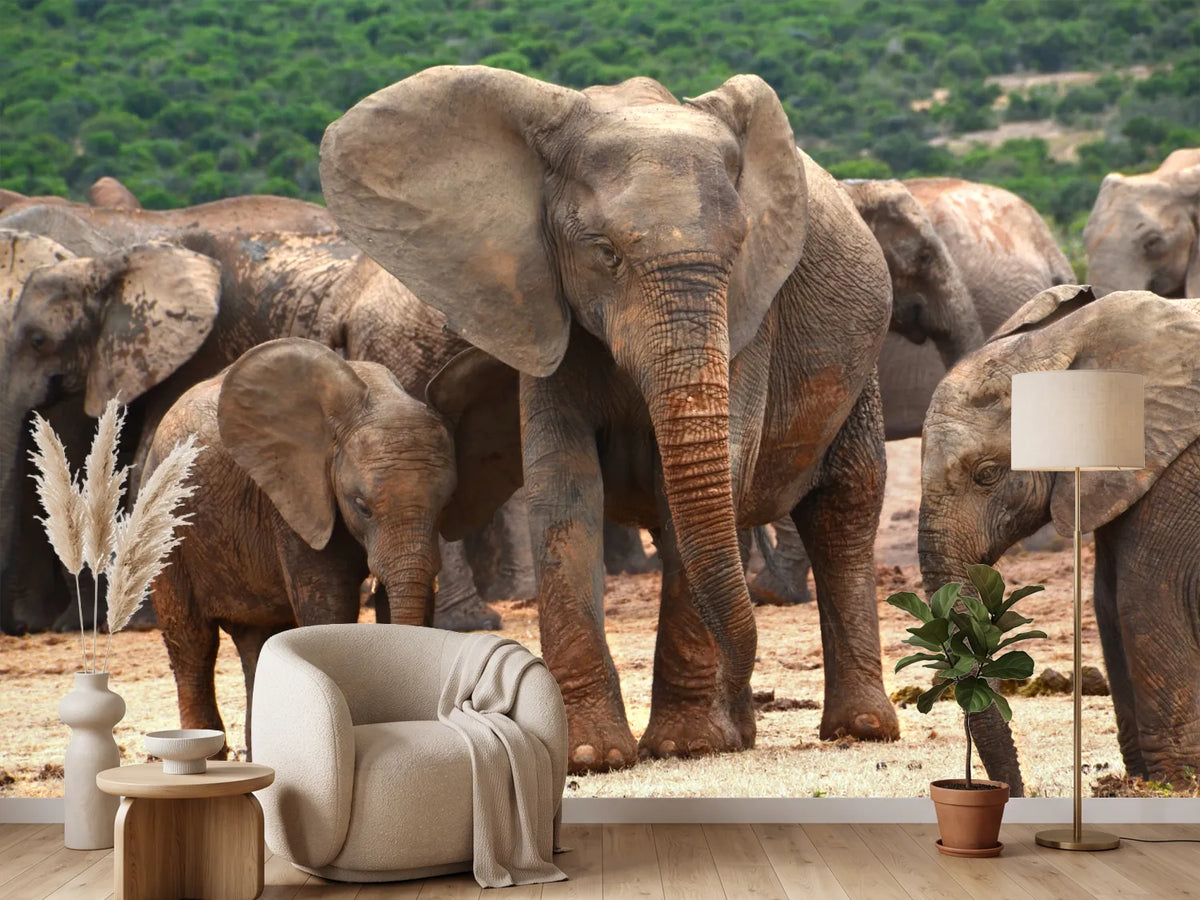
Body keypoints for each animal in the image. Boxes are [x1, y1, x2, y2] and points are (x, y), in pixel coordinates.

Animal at [149, 338, 522, 753]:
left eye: (445, 504)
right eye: (361, 506)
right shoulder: (297, 498)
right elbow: (329, 607)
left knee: (257, 639)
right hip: (168, 521)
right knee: (191, 641)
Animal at [321, 66, 900, 773]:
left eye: (740, 248)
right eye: (604, 252)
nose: (751, 702)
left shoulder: (752, 315)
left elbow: (701, 493)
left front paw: (684, 745)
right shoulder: (540, 305)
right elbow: (563, 491)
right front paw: (591, 755)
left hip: (861, 371)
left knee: (843, 508)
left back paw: (856, 729)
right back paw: (744, 732)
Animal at [919, 284, 1200, 788]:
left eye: (986, 475)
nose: (1011, 792)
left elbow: (1147, 596)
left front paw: (1175, 783)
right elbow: (1107, 600)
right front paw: (1142, 782)